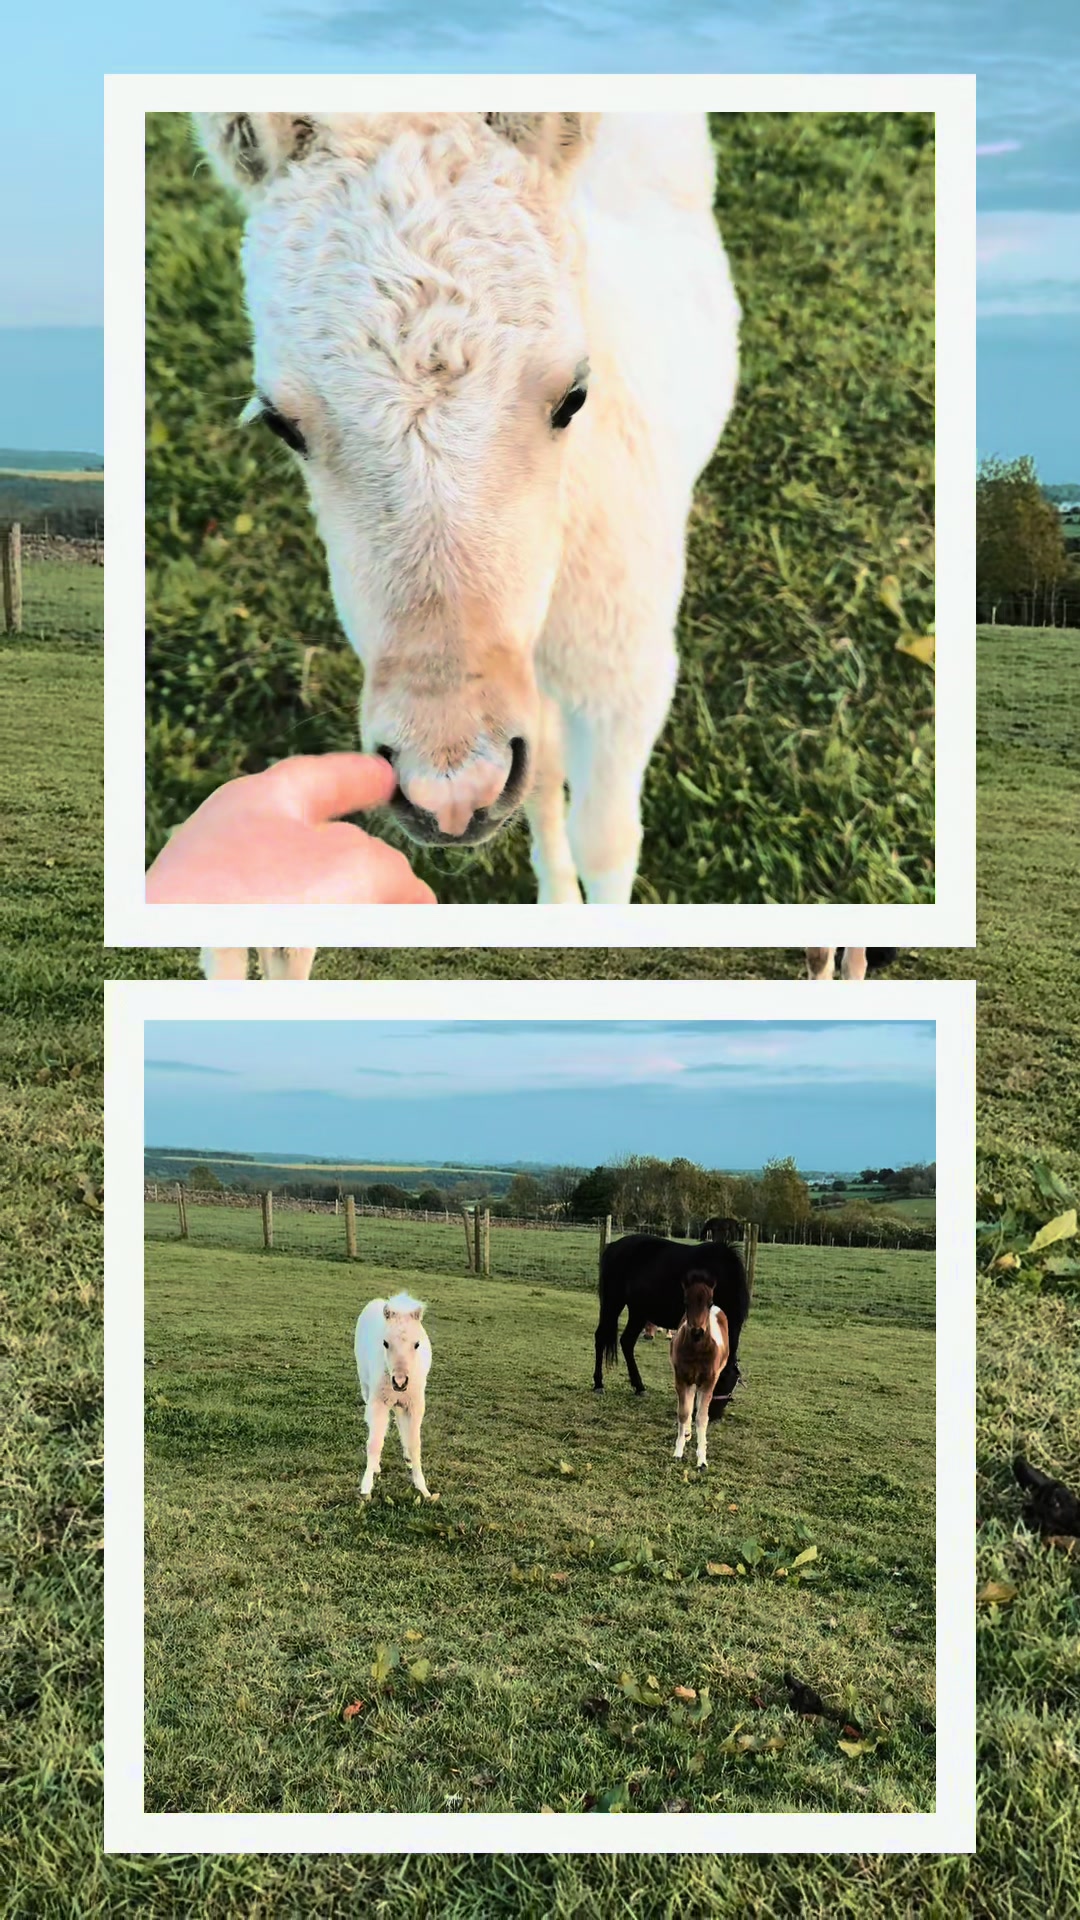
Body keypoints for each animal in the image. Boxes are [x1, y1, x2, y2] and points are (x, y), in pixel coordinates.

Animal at [193, 110, 739, 978]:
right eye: (281, 423)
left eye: (574, 394)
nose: (450, 786)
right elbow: (542, 776)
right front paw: (554, 907)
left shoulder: (626, 668)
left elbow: (606, 838)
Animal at [354, 1291, 433, 1500]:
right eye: (385, 1343)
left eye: (417, 1344)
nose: (400, 1382)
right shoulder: (378, 1403)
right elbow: (375, 1442)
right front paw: (366, 1487)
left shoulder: (415, 1405)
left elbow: (415, 1444)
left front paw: (423, 1488)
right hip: (366, 1386)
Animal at [594, 1232, 748, 1417]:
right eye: (720, 1381)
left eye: (731, 1384)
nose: (713, 1416)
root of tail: (613, 1247)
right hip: (613, 1303)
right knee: (601, 1337)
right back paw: (598, 1384)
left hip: (639, 1311)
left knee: (627, 1341)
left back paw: (639, 1387)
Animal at [670, 1273, 731, 1470]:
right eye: (685, 1301)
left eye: (709, 1302)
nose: (697, 1332)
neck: (697, 1351)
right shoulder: (681, 1379)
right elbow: (683, 1413)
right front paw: (678, 1451)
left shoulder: (708, 1382)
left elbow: (702, 1417)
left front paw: (702, 1460)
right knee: (689, 1404)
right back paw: (687, 1433)